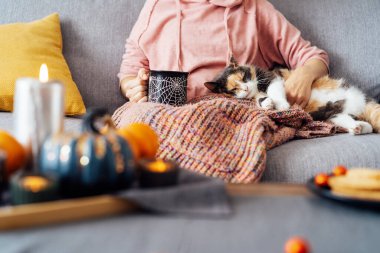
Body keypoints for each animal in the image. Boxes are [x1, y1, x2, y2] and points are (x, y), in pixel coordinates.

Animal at [205, 57, 380, 134]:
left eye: (243, 77)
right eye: (233, 89)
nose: (246, 88)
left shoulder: (274, 77)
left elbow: (274, 90)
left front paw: (282, 105)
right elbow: (260, 99)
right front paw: (267, 103)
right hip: (332, 114)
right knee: (364, 125)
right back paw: (358, 128)